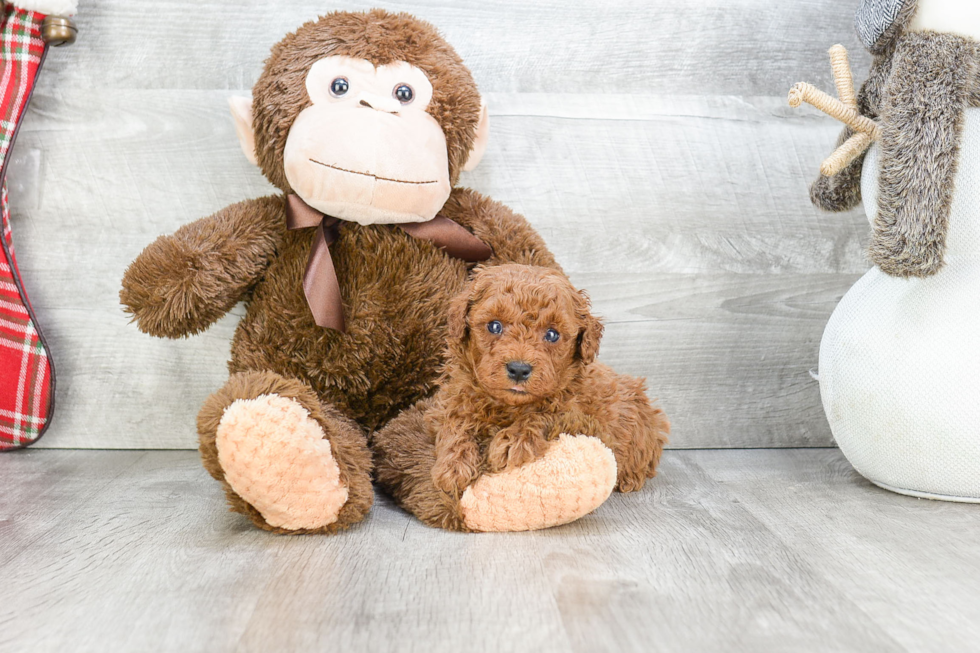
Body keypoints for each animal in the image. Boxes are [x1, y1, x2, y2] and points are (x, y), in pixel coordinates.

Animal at [372, 262, 668, 528]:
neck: (508, 406)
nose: (519, 369)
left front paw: (512, 441)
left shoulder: (584, 417)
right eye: (494, 326)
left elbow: (546, 414)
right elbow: (455, 424)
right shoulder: (448, 402)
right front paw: (454, 467)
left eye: (552, 334)